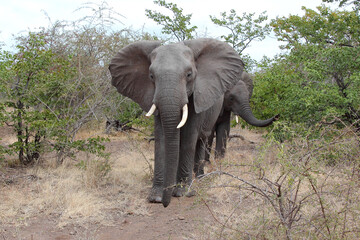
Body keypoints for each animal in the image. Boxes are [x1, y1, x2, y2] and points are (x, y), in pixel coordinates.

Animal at [109, 38, 245, 207]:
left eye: (189, 74)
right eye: (151, 76)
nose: (165, 204)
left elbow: (188, 137)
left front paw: (182, 192)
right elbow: (161, 139)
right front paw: (156, 197)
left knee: (201, 140)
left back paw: (198, 178)